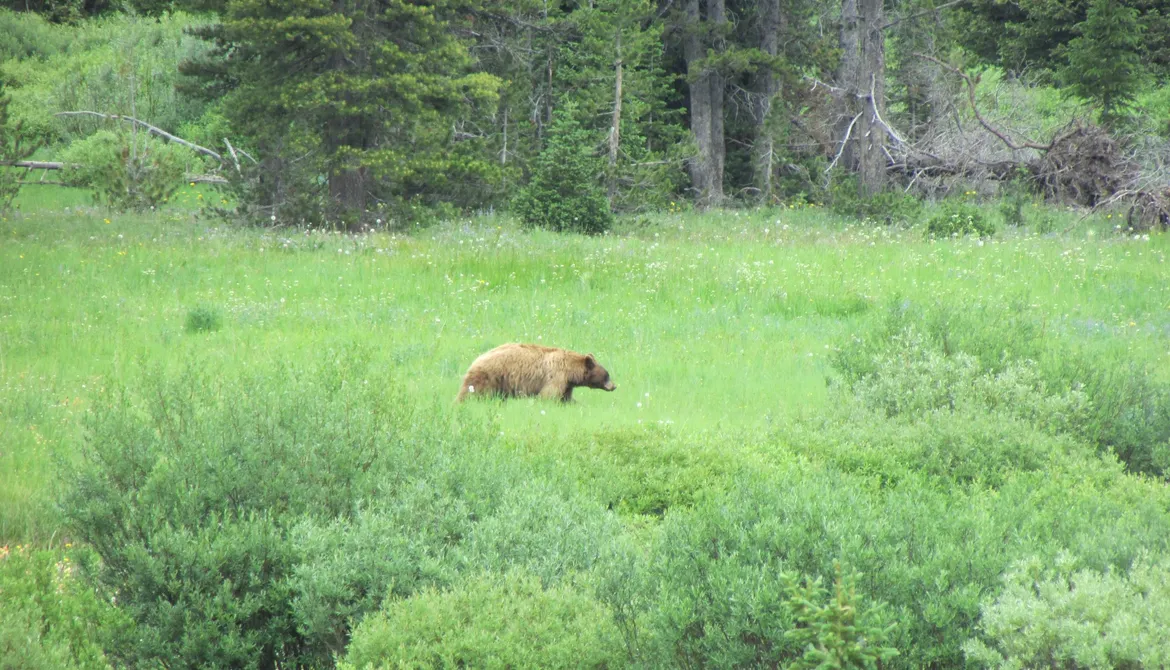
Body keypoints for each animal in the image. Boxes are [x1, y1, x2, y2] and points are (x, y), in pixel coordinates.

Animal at [456, 343, 617, 403]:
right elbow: (549, 396)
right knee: (471, 393)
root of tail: (475, 360)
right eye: (607, 375)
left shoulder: (567, 384)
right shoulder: (556, 377)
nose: (614, 386)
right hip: (488, 378)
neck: (571, 371)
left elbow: (566, 398)